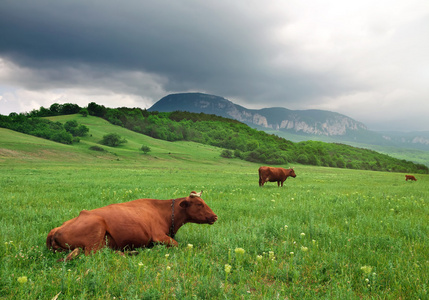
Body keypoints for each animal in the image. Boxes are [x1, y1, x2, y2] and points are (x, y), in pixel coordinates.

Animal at [46, 192, 217, 260]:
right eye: (199, 204)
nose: (215, 216)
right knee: (95, 254)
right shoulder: (158, 236)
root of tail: (55, 230)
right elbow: (177, 244)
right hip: (96, 232)